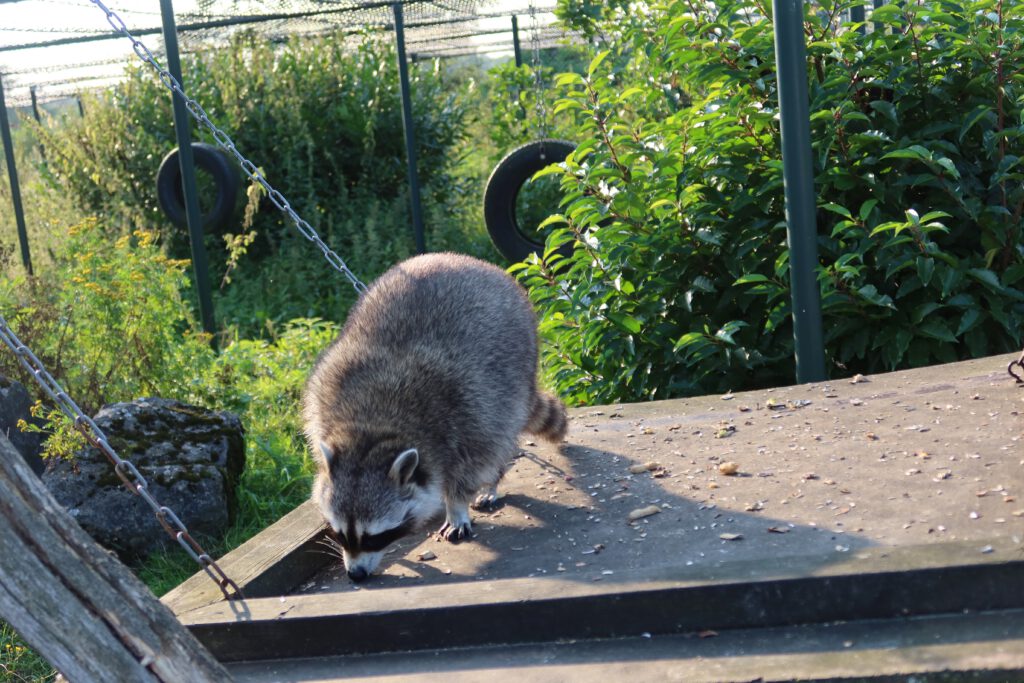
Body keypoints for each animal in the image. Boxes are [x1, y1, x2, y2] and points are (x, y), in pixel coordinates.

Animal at [302, 252, 567, 582]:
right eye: (340, 534)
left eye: (374, 537)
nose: (356, 575)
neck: (375, 429)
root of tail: (471, 261)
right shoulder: (327, 394)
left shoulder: (470, 408)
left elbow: (473, 463)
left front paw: (456, 506)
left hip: (518, 359)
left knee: (503, 434)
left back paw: (492, 482)